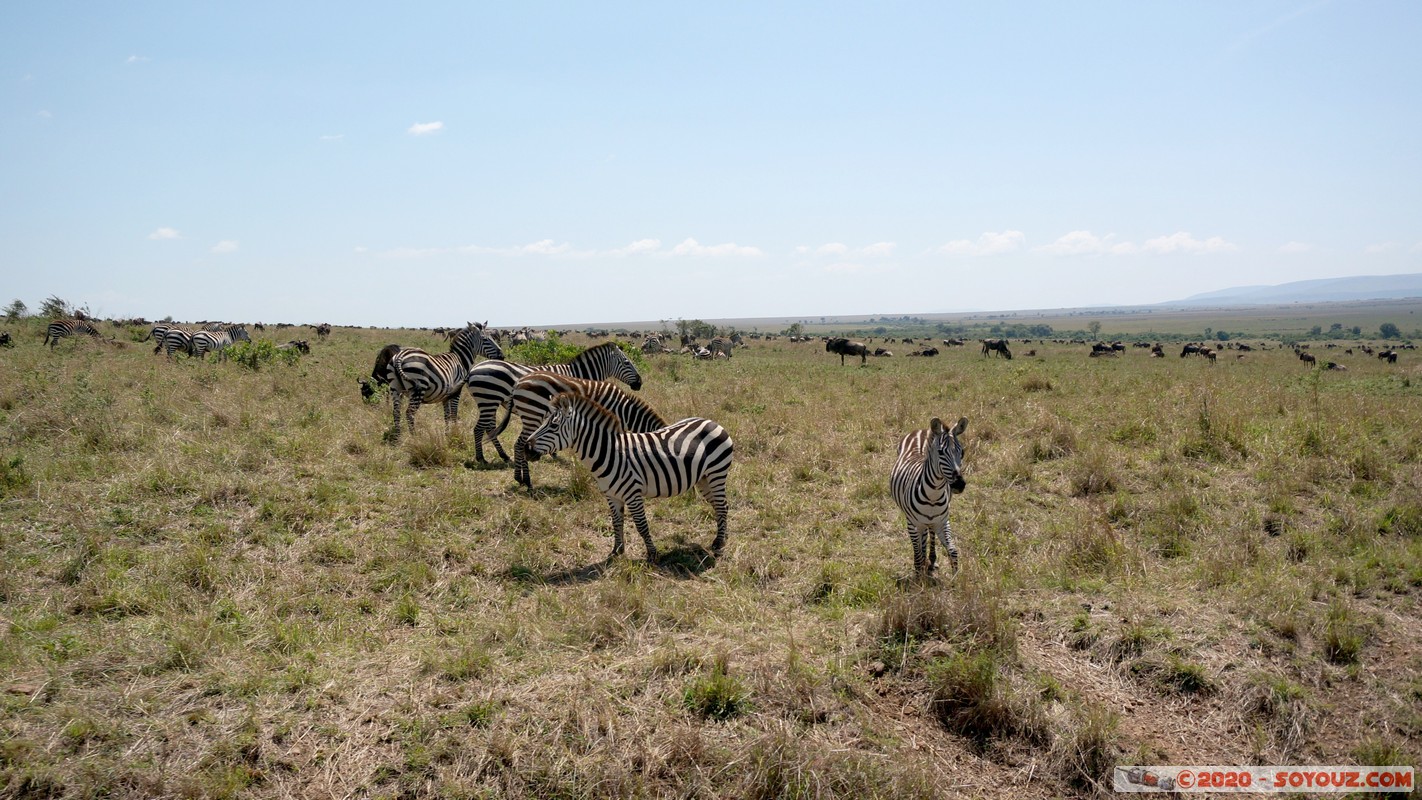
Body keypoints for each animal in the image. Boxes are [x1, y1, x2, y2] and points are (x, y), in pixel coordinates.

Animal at [466, 342, 645, 463]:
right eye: (627, 362)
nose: (639, 383)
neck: (579, 376)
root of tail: (473, 369)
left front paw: (552, 452)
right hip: (489, 400)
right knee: (479, 428)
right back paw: (481, 458)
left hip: (489, 402)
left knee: (489, 428)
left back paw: (503, 456)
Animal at [509, 375, 668, 491]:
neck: (625, 411)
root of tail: (518, 382)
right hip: (532, 415)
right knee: (520, 444)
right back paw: (526, 481)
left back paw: (521, 479)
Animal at [528, 389, 739, 562]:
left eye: (553, 426)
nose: (526, 449)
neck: (609, 453)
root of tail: (711, 422)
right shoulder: (611, 495)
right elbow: (616, 522)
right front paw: (617, 551)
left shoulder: (632, 494)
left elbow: (641, 525)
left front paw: (652, 555)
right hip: (703, 479)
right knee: (720, 506)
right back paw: (722, 538)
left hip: (717, 473)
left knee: (722, 506)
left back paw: (718, 546)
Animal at [887, 417, 966, 579]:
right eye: (940, 452)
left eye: (962, 452)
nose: (959, 484)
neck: (933, 496)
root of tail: (922, 430)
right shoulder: (912, 523)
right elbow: (917, 555)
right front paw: (919, 579)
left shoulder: (943, 521)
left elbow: (953, 551)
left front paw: (956, 579)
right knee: (921, 539)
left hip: (932, 521)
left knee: (930, 532)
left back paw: (931, 559)